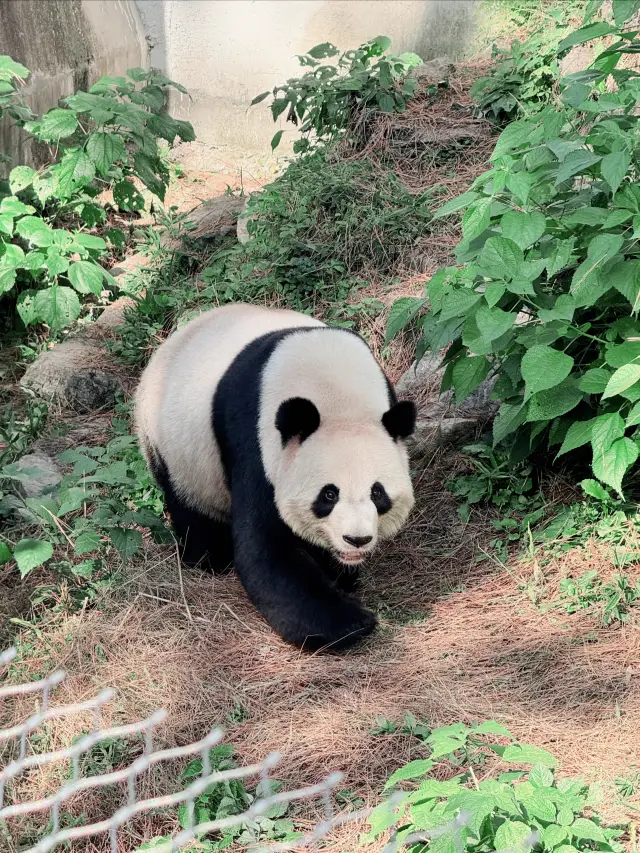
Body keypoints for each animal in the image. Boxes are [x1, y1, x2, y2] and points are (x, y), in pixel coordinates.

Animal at [134, 304, 416, 652]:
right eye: (329, 494)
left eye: (378, 493)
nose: (357, 539)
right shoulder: (254, 439)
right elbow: (265, 548)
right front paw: (351, 623)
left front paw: (342, 575)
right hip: (172, 446)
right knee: (191, 510)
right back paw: (209, 560)